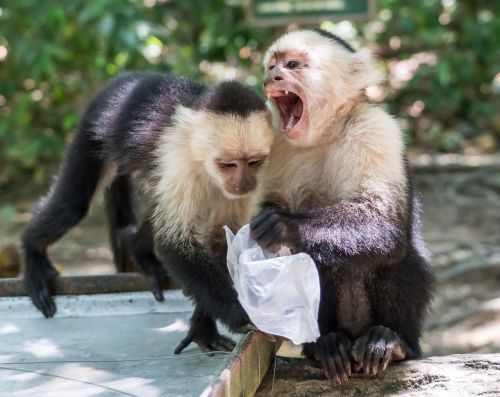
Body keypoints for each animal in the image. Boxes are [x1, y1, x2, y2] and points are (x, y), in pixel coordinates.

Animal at [22, 72, 274, 352]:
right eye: (228, 165)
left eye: (253, 162)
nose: (243, 183)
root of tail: (127, 77)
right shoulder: (181, 164)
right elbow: (174, 245)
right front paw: (239, 314)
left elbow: (220, 243)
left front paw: (203, 327)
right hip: (95, 125)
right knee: (71, 206)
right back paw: (33, 255)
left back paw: (139, 251)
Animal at [250, 29, 434, 382]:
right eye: (271, 65)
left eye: (292, 65)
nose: (272, 77)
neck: (325, 133)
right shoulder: (276, 144)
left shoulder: (375, 129)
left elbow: (382, 222)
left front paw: (284, 225)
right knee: (315, 258)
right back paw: (326, 344)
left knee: (395, 252)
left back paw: (392, 341)